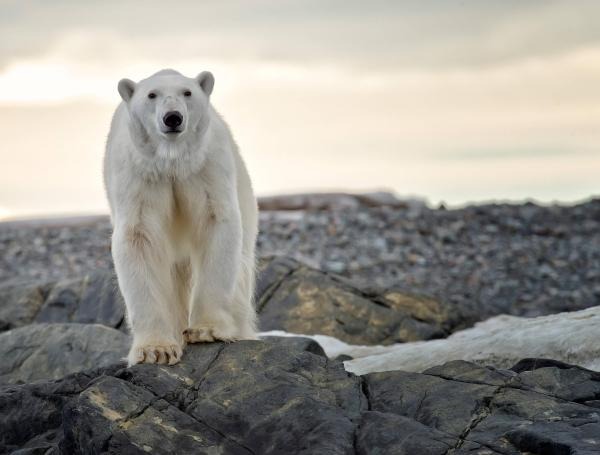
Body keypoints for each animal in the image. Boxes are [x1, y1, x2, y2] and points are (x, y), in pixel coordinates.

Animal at [104, 68, 258, 366]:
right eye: (152, 95)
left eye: (187, 92)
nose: (173, 117)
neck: (171, 162)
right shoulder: (138, 175)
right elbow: (138, 237)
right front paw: (156, 350)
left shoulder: (205, 168)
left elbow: (215, 223)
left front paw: (207, 330)